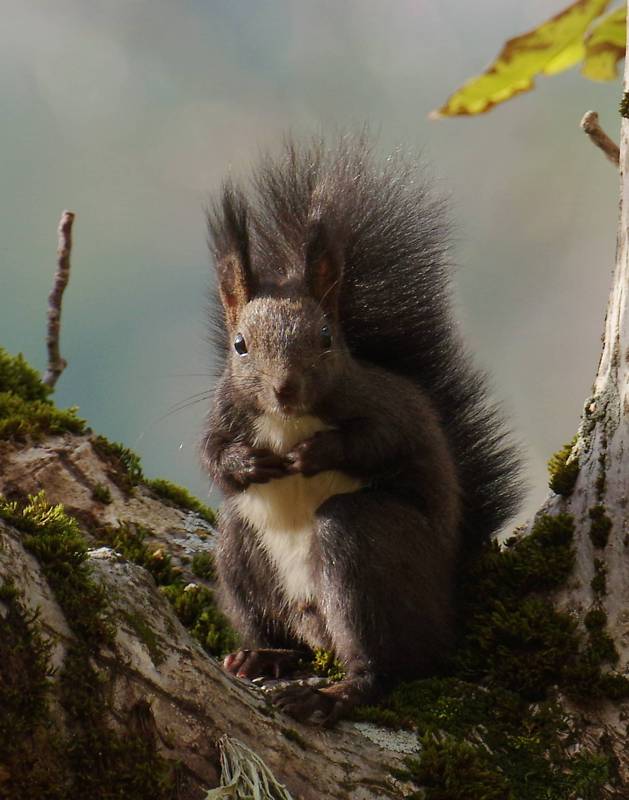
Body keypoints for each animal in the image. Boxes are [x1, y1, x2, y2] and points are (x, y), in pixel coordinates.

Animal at [200, 136, 520, 724]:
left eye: (327, 338)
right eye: (240, 345)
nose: (285, 389)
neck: (287, 422)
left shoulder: (388, 410)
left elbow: (378, 443)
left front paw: (317, 452)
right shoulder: (221, 413)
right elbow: (213, 457)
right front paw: (248, 463)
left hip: (366, 549)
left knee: (382, 662)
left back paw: (333, 693)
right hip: (241, 549)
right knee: (267, 607)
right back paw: (262, 655)